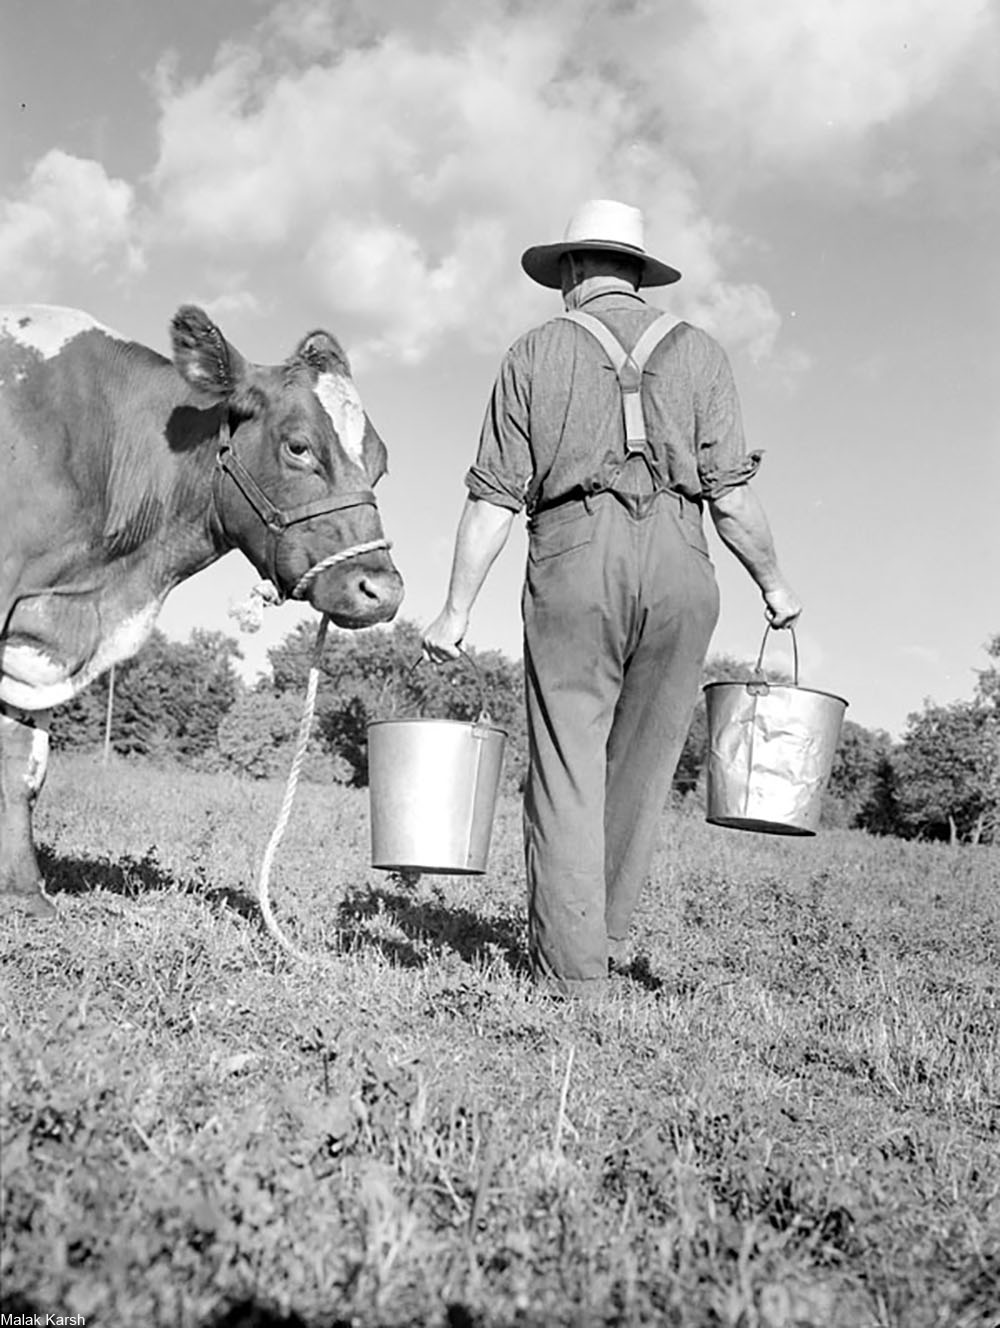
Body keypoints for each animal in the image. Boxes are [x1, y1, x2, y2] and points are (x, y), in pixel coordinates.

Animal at [4, 305, 401, 918]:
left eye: (379, 465)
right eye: (298, 447)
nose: (383, 589)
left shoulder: (43, 639)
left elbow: (24, 762)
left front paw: (25, 893)